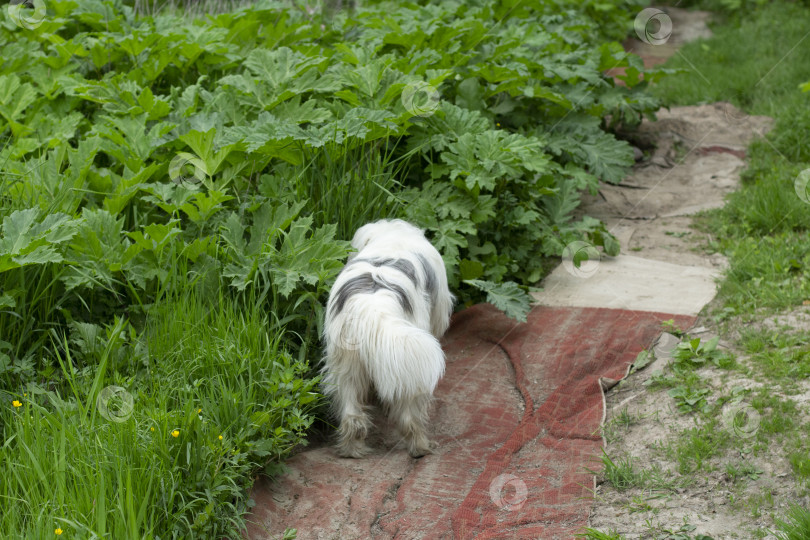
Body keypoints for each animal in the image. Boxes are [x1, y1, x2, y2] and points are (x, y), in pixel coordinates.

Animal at [318, 217, 452, 458]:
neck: (393, 237)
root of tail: (372, 306)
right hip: (409, 364)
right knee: (408, 417)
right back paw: (421, 447)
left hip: (346, 366)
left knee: (352, 415)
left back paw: (352, 450)